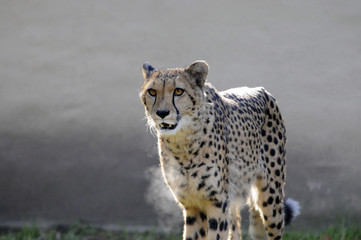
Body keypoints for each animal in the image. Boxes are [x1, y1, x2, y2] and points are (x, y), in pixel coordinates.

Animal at [139, 60, 300, 240]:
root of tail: (262, 90)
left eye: (179, 91)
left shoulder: (217, 202)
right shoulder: (192, 204)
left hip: (271, 197)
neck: (183, 143)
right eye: (152, 91)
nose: (162, 113)